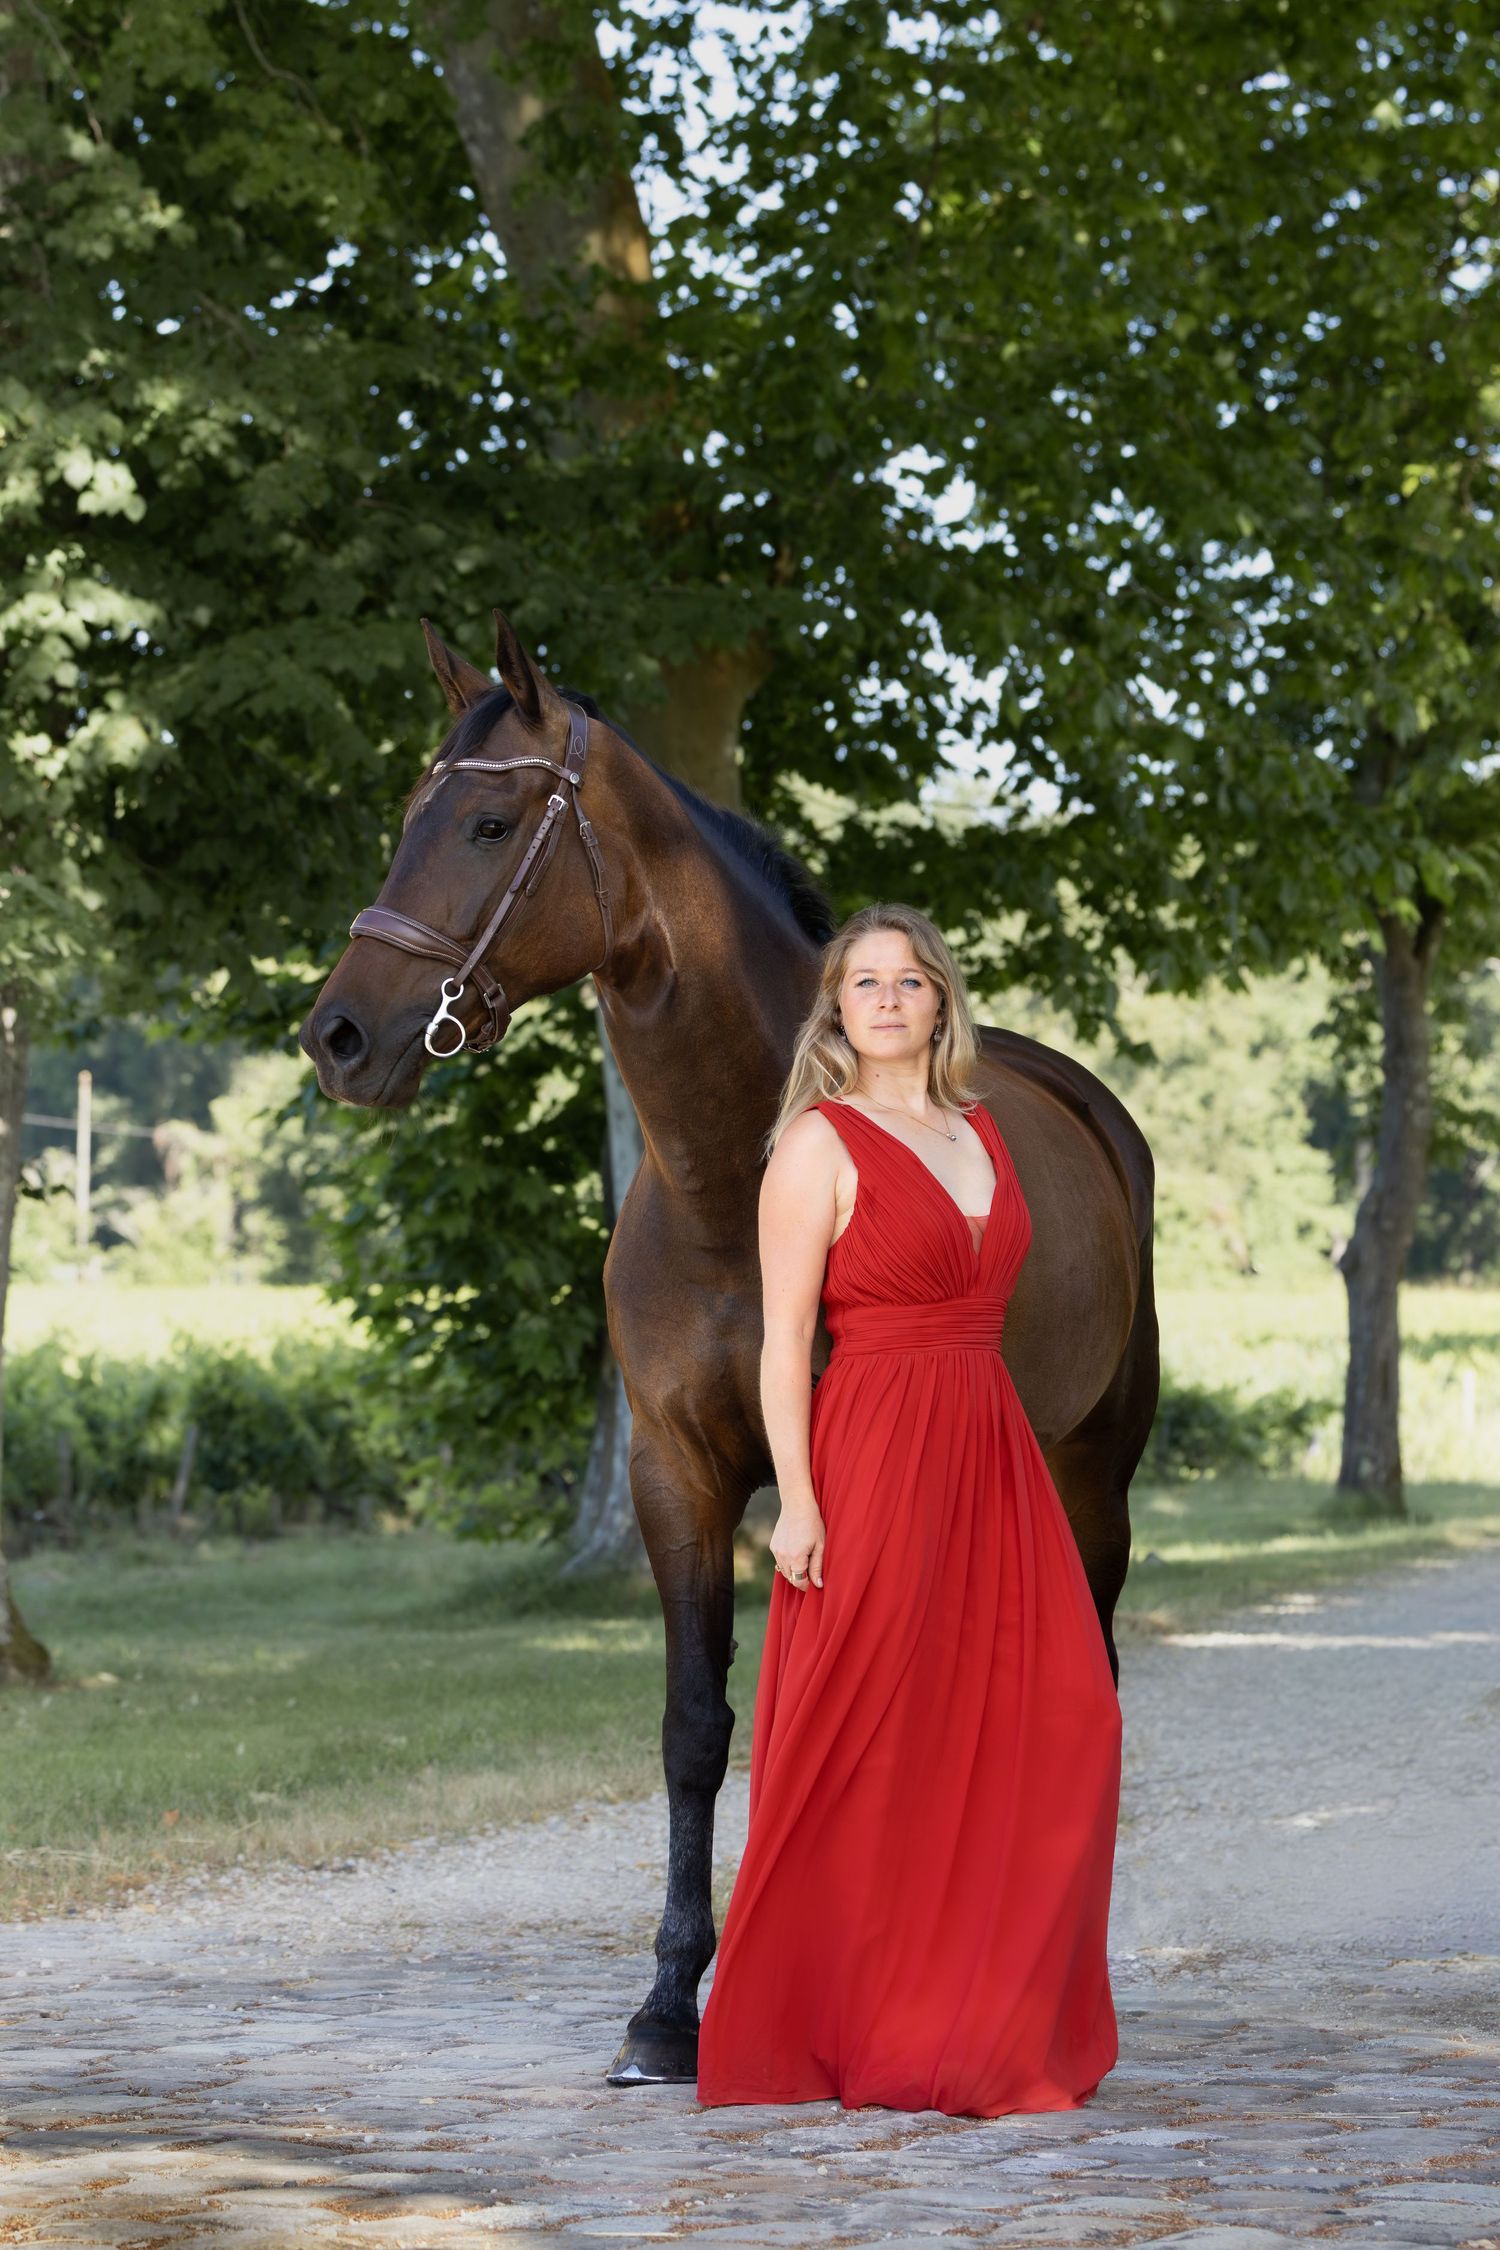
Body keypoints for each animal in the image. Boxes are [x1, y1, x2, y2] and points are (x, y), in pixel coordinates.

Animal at [299, 610, 1159, 2088]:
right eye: (408, 814)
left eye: (486, 822)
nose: (339, 1038)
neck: (733, 1182)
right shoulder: (679, 1474)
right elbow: (696, 1731)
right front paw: (666, 2006)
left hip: (1093, 1467)